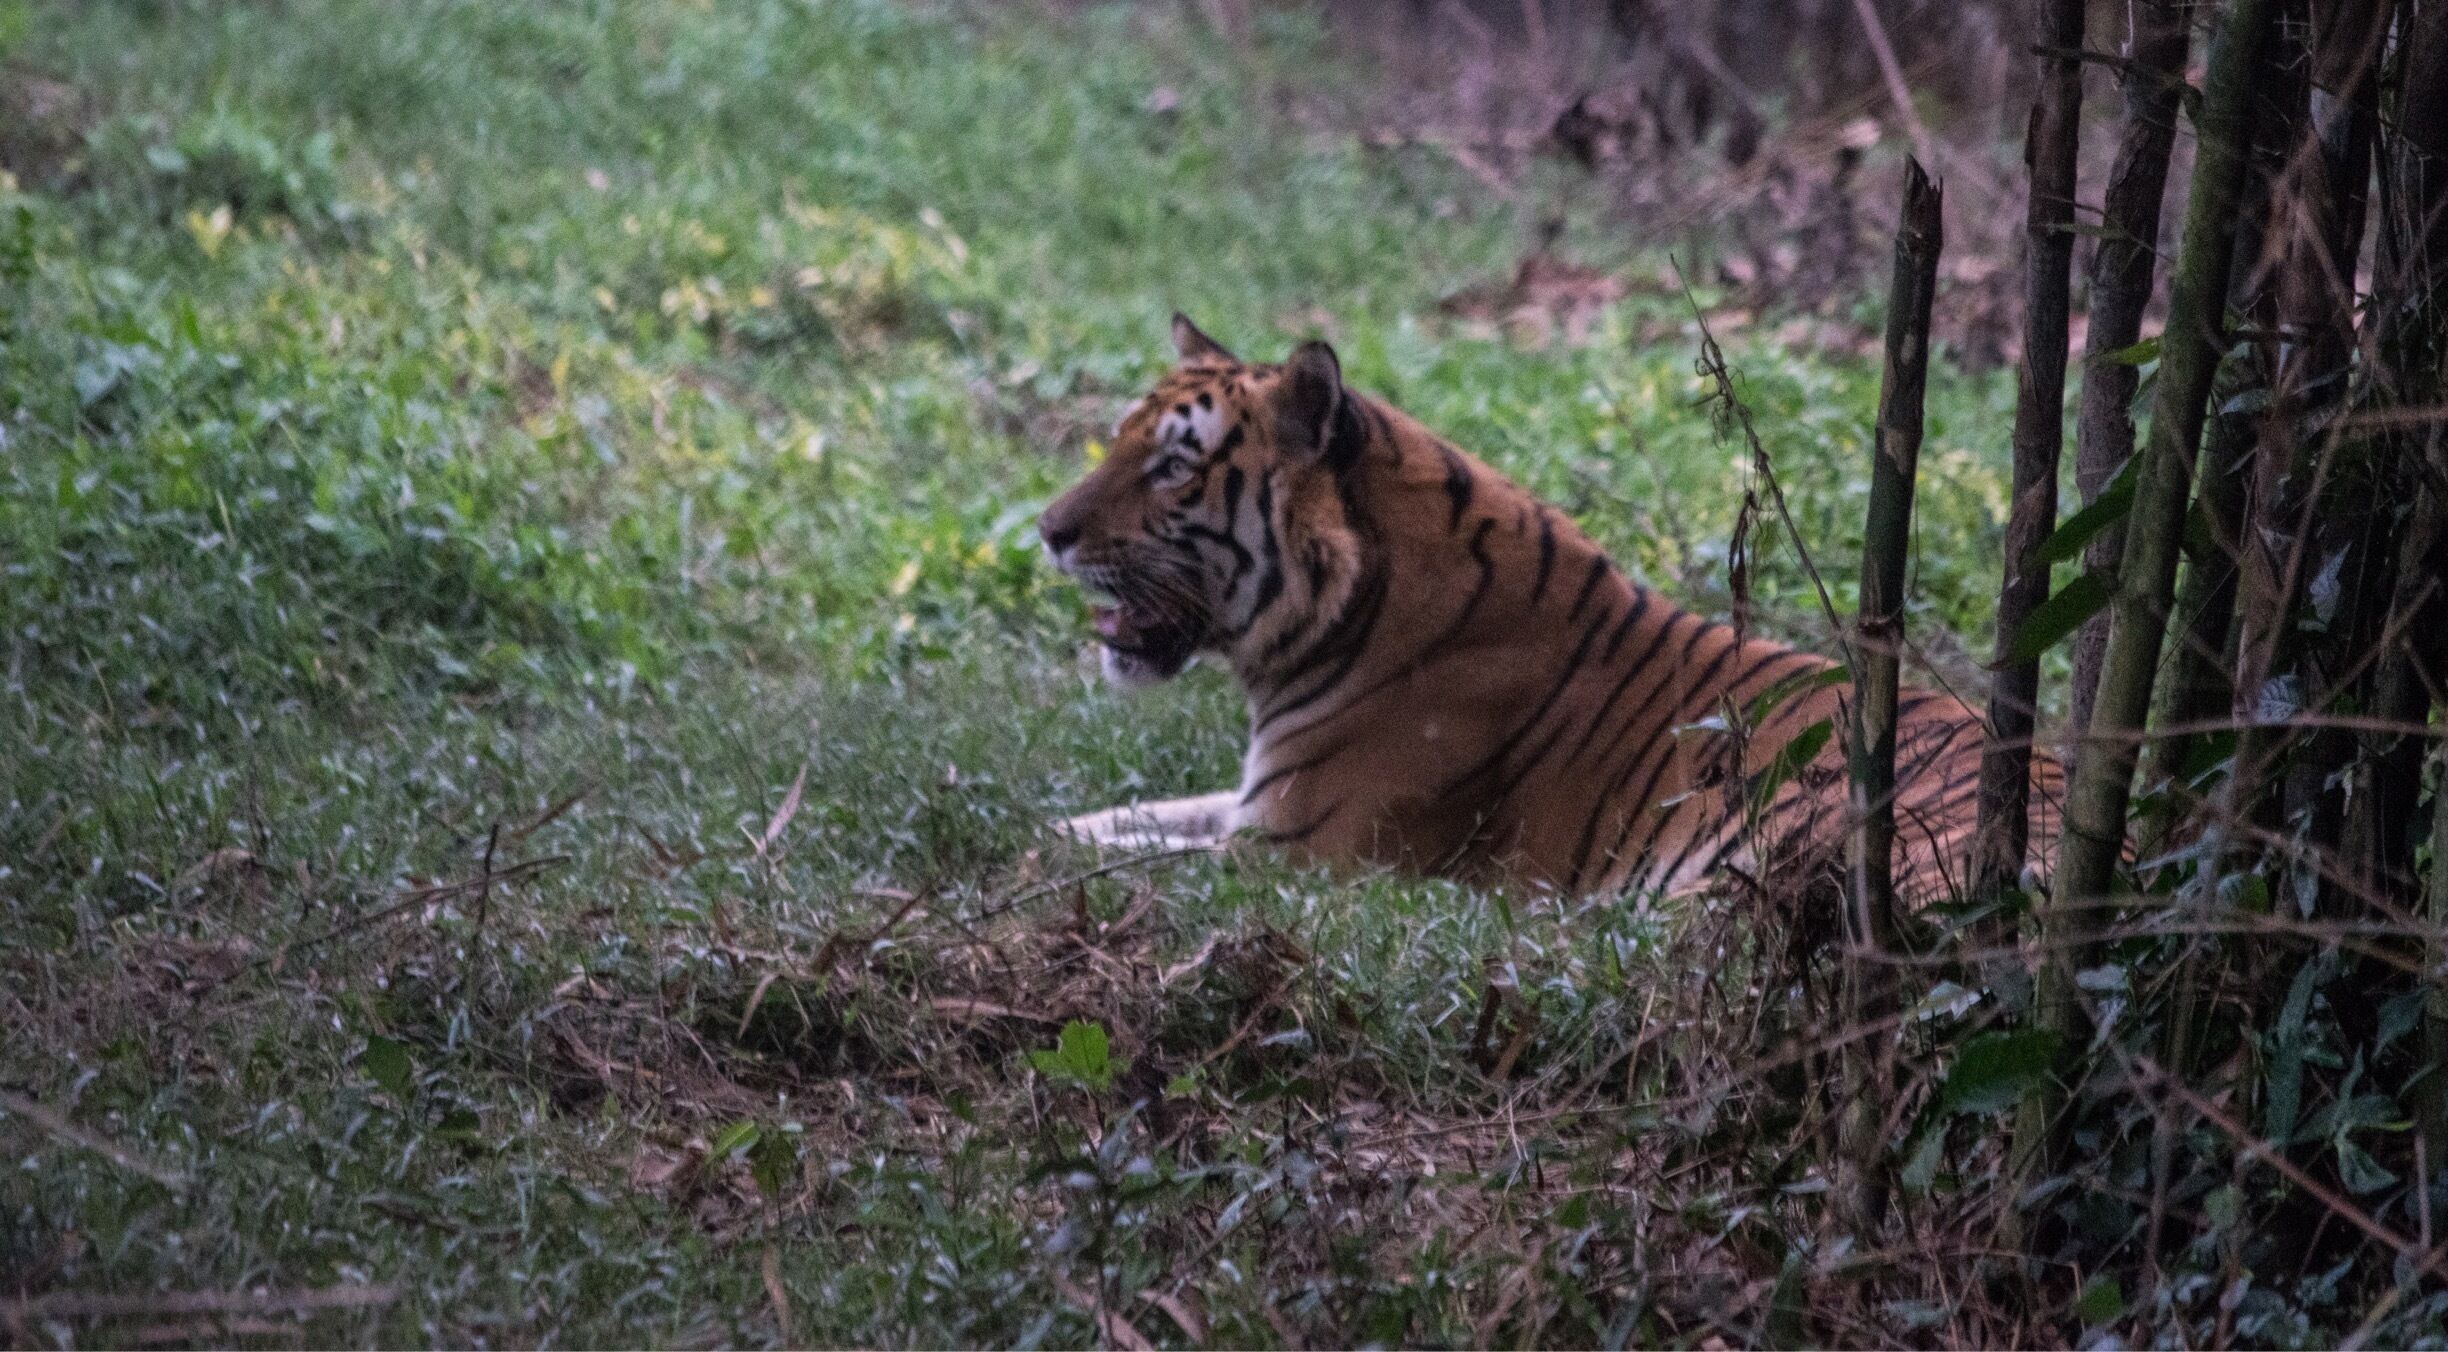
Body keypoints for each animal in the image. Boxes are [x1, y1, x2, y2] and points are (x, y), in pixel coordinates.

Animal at [1038, 314, 2059, 903]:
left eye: (1174, 466)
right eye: (1121, 440)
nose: (1048, 531)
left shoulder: (1295, 847)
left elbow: (1122, 856)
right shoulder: (1250, 804)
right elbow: (1125, 818)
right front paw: (1046, 830)